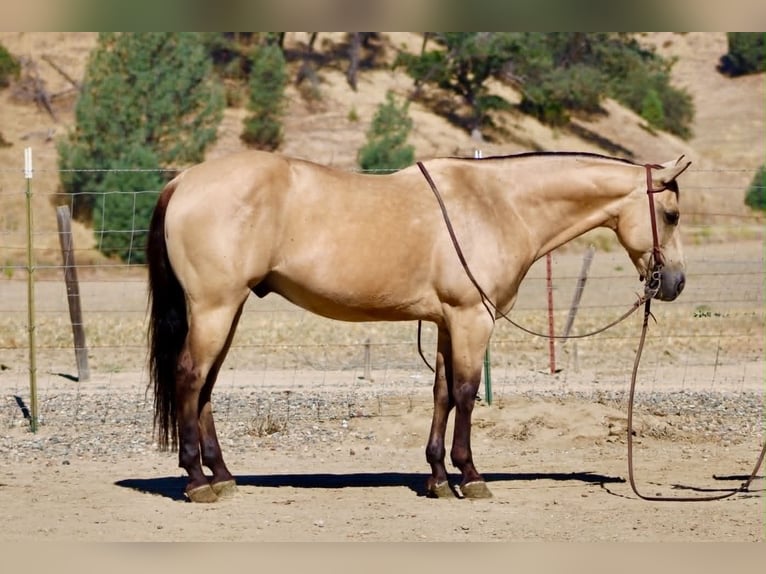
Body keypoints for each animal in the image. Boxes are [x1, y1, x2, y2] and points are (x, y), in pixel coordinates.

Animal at [146, 150, 691, 502]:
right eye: (671, 214)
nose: (675, 282)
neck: (497, 204)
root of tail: (184, 180)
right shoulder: (472, 318)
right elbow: (467, 394)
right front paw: (470, 476)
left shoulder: (449, 320)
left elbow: (443, 393)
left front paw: (437, 478)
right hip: (214, 308)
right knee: (190, 378)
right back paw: (196, 480)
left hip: (227, 310)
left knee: (206, 386)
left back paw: (222, 474)